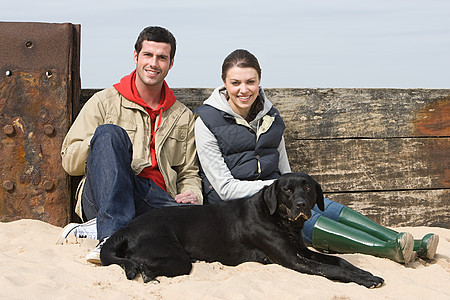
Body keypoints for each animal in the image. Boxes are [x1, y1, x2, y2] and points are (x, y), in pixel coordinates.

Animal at [99, 173, 384, 288]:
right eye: (287, 190)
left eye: (308, 188)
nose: (302, 205)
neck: (280, 221)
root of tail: (127, 228)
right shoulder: (292, 259)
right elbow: (332, 270)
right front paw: (365, 280)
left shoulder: (302, 251)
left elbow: (340, 261)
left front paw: (365, 272)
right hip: (176, 258)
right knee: (140, 264)